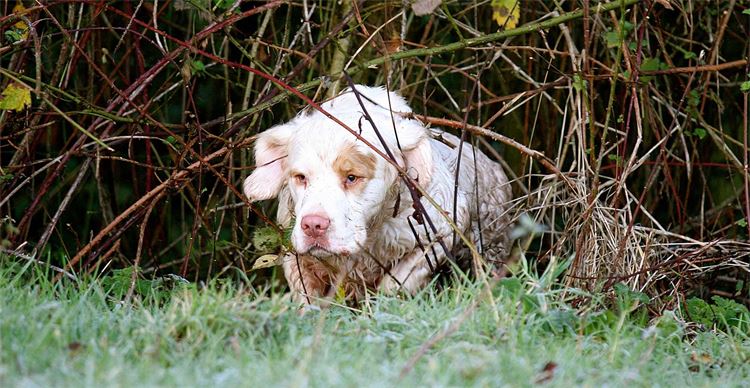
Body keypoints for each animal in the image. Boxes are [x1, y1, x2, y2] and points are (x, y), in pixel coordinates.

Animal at [244, 85, 516, 304]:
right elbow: (307, 297)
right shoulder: (294, 252)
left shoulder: (440, 232)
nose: (313, 225)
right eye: (301, 177)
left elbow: (394, 284)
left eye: (352, 177)